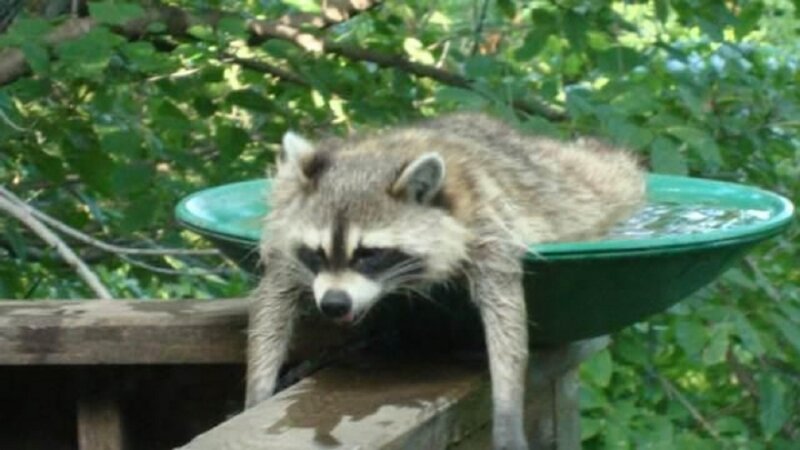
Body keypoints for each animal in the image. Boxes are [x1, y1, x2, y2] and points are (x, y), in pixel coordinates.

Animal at [245, 113, 645, 450]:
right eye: (316, 253)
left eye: (369, 254)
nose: (333, 303)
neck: (374, 158)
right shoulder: (284, 225)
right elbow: (273, 302)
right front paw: (259, 392)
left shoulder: (486, 221)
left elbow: (505, 312)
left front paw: (507, 404)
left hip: (577, 182)